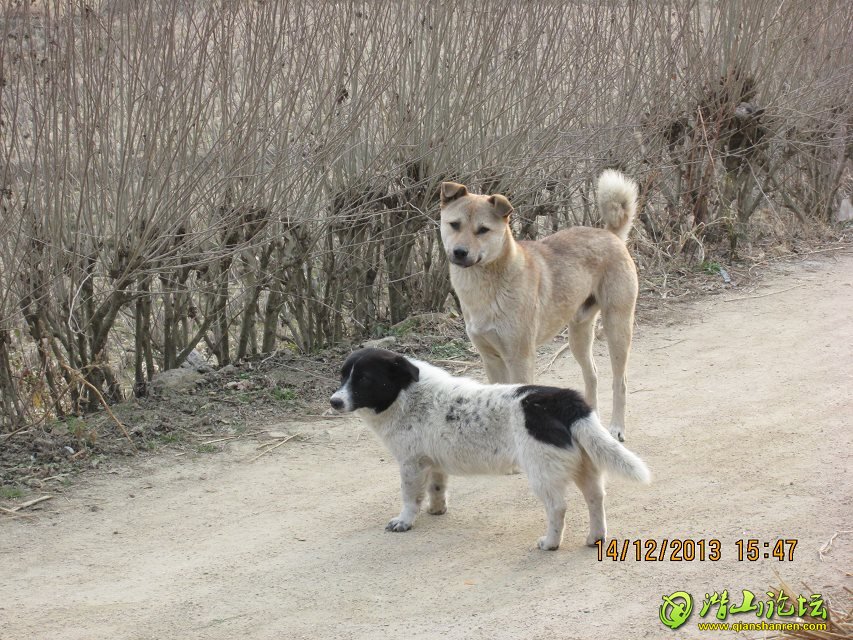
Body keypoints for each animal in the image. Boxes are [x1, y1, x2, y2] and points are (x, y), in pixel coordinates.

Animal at [330, 348, 650, 551]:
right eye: (343, 376)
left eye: (364, 379)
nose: (333, 402)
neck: (407, 394)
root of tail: (565, 402)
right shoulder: (433, 463)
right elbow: (437, 488)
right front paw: (437, 509)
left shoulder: (411, 464)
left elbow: (409, 498)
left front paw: (404, 521)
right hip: (586, 467)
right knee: (596, 499)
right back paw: (595, 537)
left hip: (542, 473)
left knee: (558, 508)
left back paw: (551, 543)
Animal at [439, 170, 639, 441]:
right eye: (454, 224)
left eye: (483, 230)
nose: (460, 252)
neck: (486, 287)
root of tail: (610, 234)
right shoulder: (491, 359)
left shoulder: (520, 358)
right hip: (578, 336)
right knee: (592, 375)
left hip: (617, 328)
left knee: (620, 381)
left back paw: (617, 428)